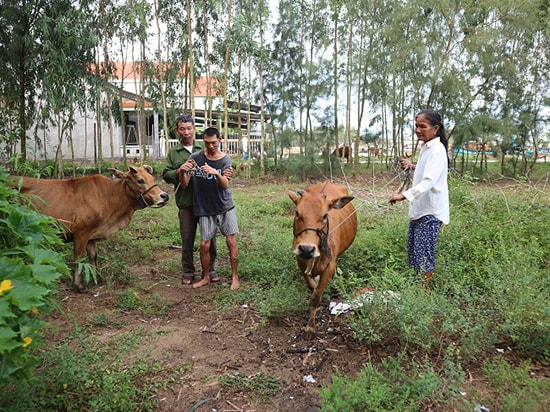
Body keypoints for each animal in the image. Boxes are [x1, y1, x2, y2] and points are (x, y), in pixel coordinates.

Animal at [12, 166, 168, 292]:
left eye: (151, 178)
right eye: (140, 180)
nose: (164, 196)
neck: (110, 197)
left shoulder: (91, 236)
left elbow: (93, 256)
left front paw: (97, 277)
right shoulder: (81, 233)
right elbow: (78, 257)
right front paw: (78, 285)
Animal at [288, 181, 358, 334]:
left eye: (325, 215)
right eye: (297, 213)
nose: (306, 249)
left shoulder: (329, 266)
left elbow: (316, 296)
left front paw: (310, 327)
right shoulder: (300, 261)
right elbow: (312, 287)